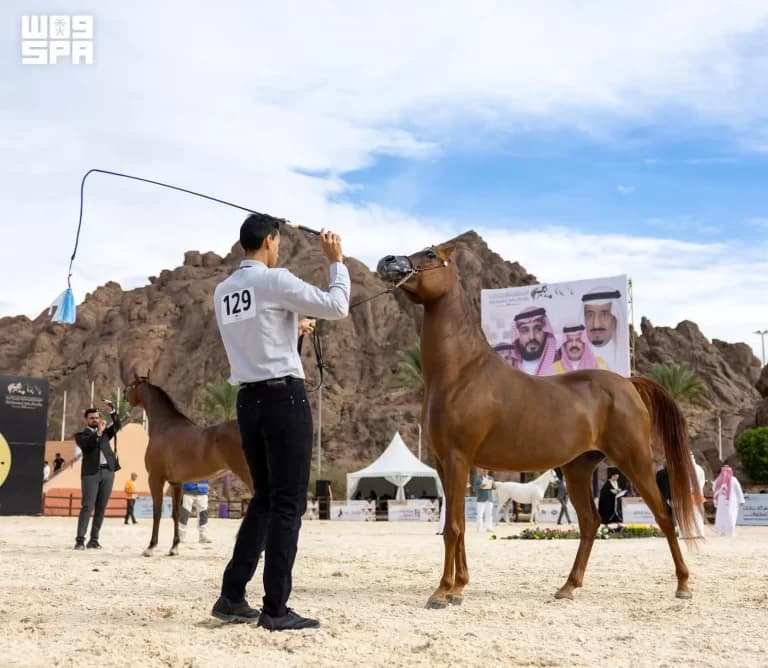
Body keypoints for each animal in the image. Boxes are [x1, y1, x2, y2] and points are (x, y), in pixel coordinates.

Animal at [124, 372, 253, 556]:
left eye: (130, 385)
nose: (124, 396)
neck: (165, 427)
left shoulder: (155, 478)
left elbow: (157, 512)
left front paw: (151, 546)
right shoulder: (176, 483)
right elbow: (176, 513)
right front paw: (174, 547)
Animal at [377, 242, 699, 609]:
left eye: (430, 254)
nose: (387, 261)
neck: (462, 373)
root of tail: (628, 383)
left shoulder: (458, 459)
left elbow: (455, 526)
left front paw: (442, 592)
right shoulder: (445, 463)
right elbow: (456, 526)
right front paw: (459, 587)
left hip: (635, 461)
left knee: (664, 516)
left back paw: (683, 584)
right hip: (578, 469)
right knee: (591, 522)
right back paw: (568, 587)